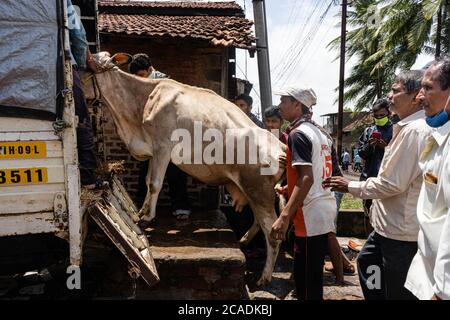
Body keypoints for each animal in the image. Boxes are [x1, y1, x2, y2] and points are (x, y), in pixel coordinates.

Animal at [81, 52, 284, 284]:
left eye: (84, 67)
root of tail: (281, 146)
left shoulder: (162, 146)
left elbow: (155, 183)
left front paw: (147, 217)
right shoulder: (153, 150)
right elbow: (147, 180)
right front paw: (141, 210)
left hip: (258, 190)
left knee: (272, 232)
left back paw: (264, 278)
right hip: (251, 191)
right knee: (259, 221)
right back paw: (243, 240)